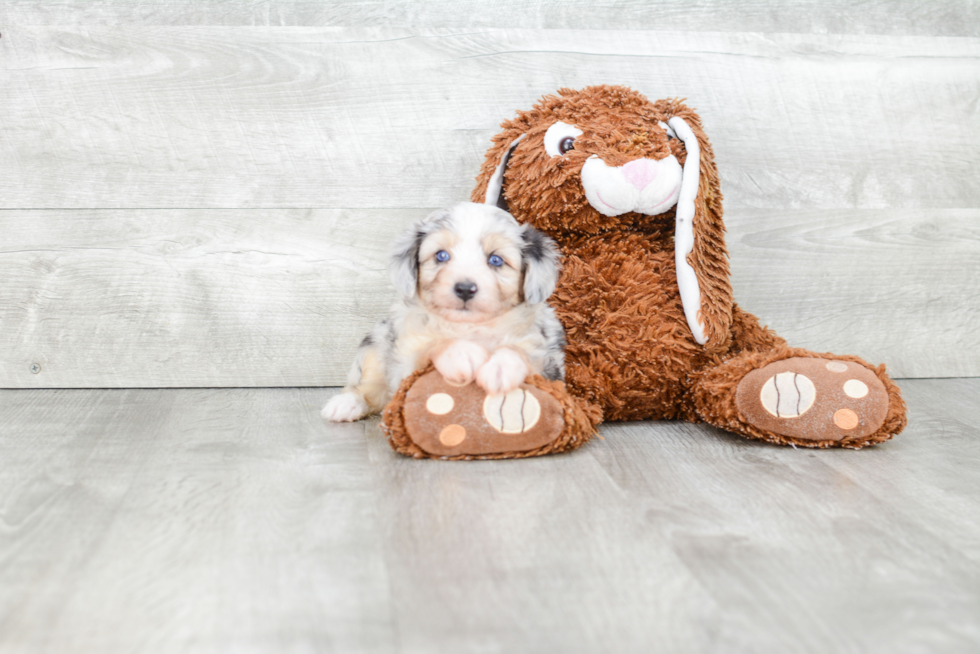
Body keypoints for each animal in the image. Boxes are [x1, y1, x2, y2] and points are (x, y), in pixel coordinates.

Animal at [322, 202, 568, 422]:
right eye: (441, 256)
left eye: (496, 259)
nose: (465, 288)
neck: (469, 326)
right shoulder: (406, 361)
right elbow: (434, 345)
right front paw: (460, 353)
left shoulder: (549, 367)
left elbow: (520, 352)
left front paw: (501, 368)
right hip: (376, 343)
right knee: (370, 387)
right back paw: (346, 404)